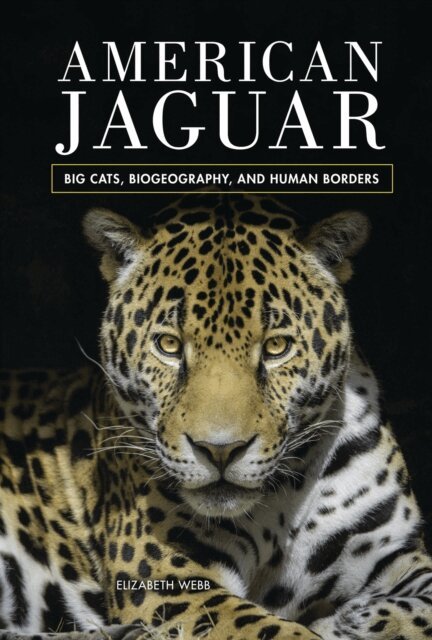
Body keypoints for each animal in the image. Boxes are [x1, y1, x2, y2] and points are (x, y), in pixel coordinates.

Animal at [0, 193, 431, 640]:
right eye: (169, 345)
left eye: (276, 347)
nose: (220, 451)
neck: (282, 501)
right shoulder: (167, 580)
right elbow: (275, 631)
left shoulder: (397, 552)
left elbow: (423, 607)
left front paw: (356, 618)